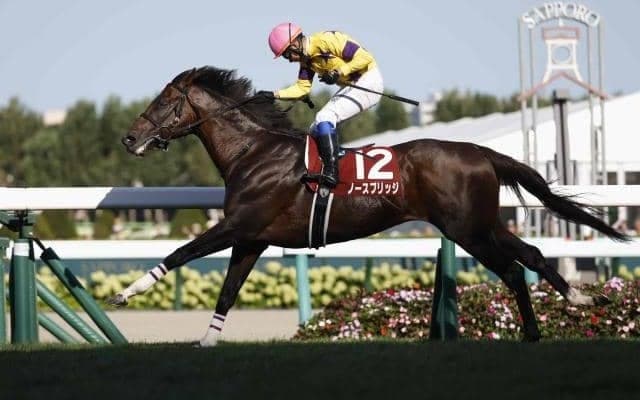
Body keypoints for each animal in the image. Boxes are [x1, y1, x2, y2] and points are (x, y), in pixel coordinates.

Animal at [113, 66, 629, 345]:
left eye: (164, 101)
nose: (130, 138)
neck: (253, 151)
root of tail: (481, 152)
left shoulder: (238, 225)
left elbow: (179, 253)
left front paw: (127, 291)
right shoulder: (251, 240)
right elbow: (226, 292)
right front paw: (205, 340)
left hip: (467, 230)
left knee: (512, 269)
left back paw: (540, 326)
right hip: (481, 224)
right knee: (533, 255)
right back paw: (575, 301)